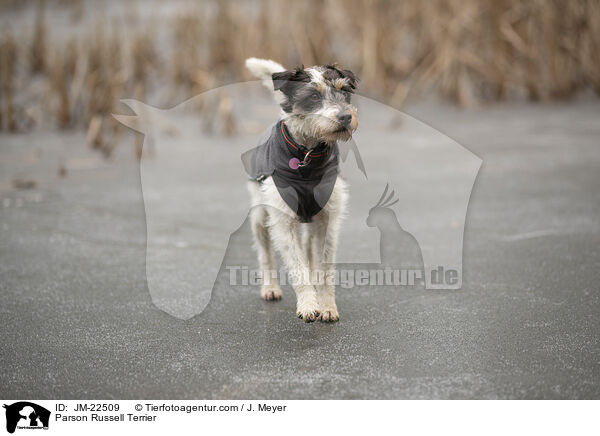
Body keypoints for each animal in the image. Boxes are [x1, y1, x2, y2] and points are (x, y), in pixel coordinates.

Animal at [243, 57, 358, 320]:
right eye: (313, 96)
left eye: (344, 91)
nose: (345, 117)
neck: (307, 156)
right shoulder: (283, 221)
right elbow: (297, 266)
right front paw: (307, 304)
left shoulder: (327, 219)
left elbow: (324, 267)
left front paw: (326, 306)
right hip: (259, 215)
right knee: (265, 253)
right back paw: (270, 288)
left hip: (310, 223)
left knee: (309, 252)